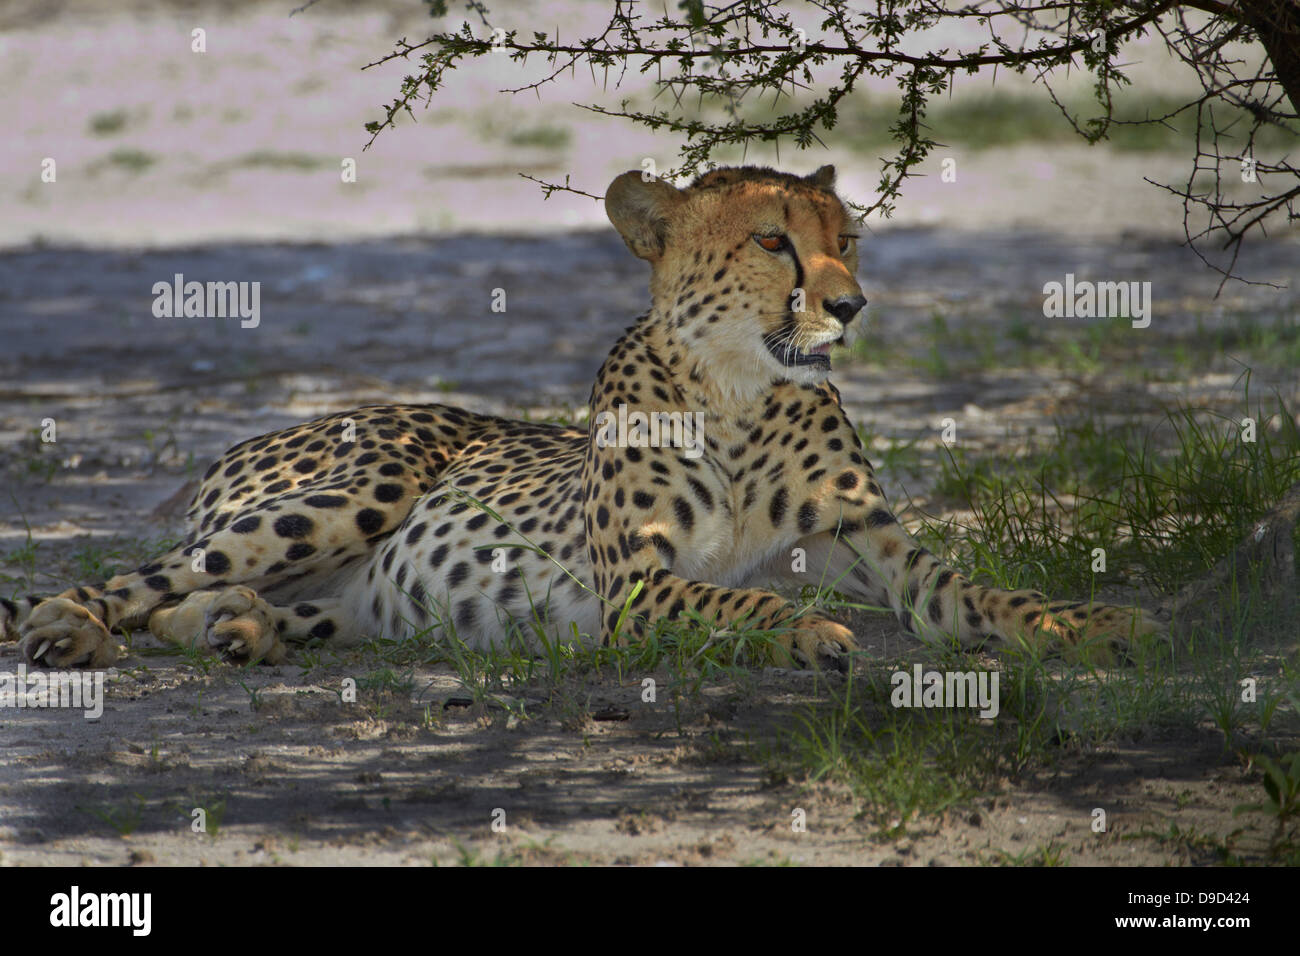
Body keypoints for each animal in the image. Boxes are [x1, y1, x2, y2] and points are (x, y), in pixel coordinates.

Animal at [2, 164, 1164, 673]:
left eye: (850, 239)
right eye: (774, 240)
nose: (850, 305)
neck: (734, 395)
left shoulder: (875, 543)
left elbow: (984, 593)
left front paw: (1095, 621)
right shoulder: (638, 587)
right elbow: (739, 599)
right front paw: (805, 630)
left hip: (357, 602)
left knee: (202, 605)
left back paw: (238, 628)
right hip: (356, 490)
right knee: (137, 581)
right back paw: (68, 624)